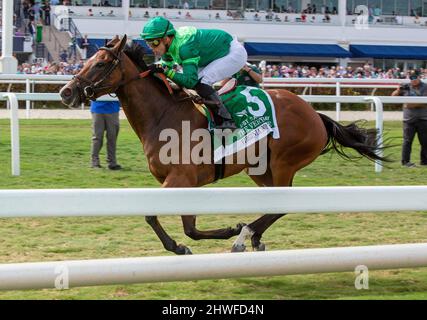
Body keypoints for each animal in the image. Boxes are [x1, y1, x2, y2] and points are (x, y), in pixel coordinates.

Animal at [61, 35, 388, 255]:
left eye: (100, 63)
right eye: (86, 60)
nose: (66, 92)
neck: (163, 115)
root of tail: (315, 114)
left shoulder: (181, 178)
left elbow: (152, 215)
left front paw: (221, 233)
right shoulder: (185, 183)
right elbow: (190, 229)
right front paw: (189, 243)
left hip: (284, 162)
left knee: (281, 204)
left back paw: (246, 235)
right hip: (260, 169)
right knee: (273, 204)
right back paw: (253, 236)